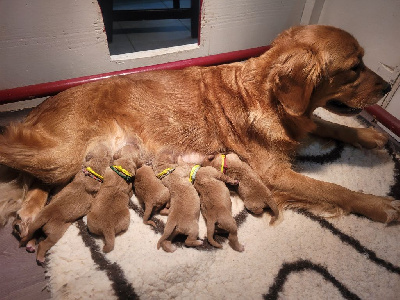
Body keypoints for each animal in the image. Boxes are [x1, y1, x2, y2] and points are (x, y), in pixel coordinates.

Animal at [0, 25, 396, 239]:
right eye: (354, 67)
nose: (389, 86)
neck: (270, 98)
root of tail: (42, 105)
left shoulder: (305, 124)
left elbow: (329, 125)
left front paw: (370, 137)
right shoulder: (274, 175)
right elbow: (334, 189)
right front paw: (379, 205)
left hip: (66, 159)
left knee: (35, 177)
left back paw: (29, 211)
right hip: (61, 154)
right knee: (17, 155)